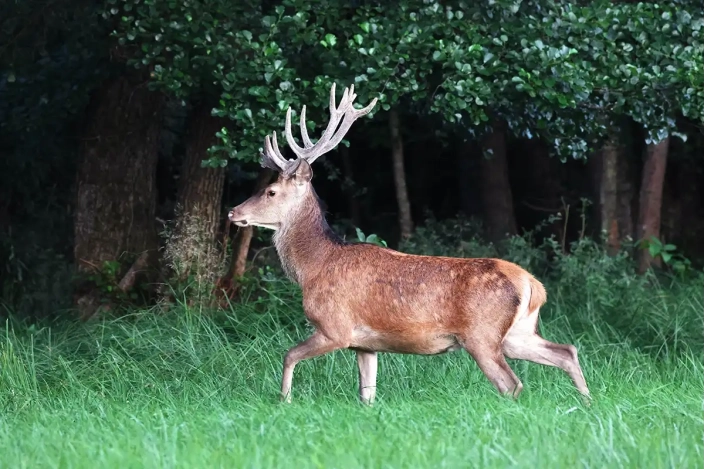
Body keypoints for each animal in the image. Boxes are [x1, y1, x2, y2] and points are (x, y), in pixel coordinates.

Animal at [228, 83, 591, 405]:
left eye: (271, 191)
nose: (233, 211)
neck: (313, 267)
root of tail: (532, 284)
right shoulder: (366, 345)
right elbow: (367, 395)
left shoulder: (336, 327)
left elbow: (289, 355)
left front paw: (284, 401)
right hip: (519, 333)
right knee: (567, 351)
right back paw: (587, 404)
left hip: (482, 335)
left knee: (512, 383)